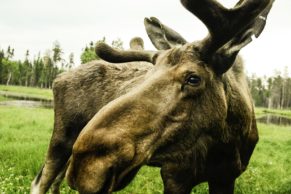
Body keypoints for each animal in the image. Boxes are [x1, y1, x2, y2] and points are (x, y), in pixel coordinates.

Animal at [30, 0, 274, 194]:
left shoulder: (226, 177)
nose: (87, 167)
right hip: (62, 139)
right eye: (150, 72)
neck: (226, 144)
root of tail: (58, 77)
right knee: (40, 182)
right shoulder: (175, 175)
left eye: (193, 78)